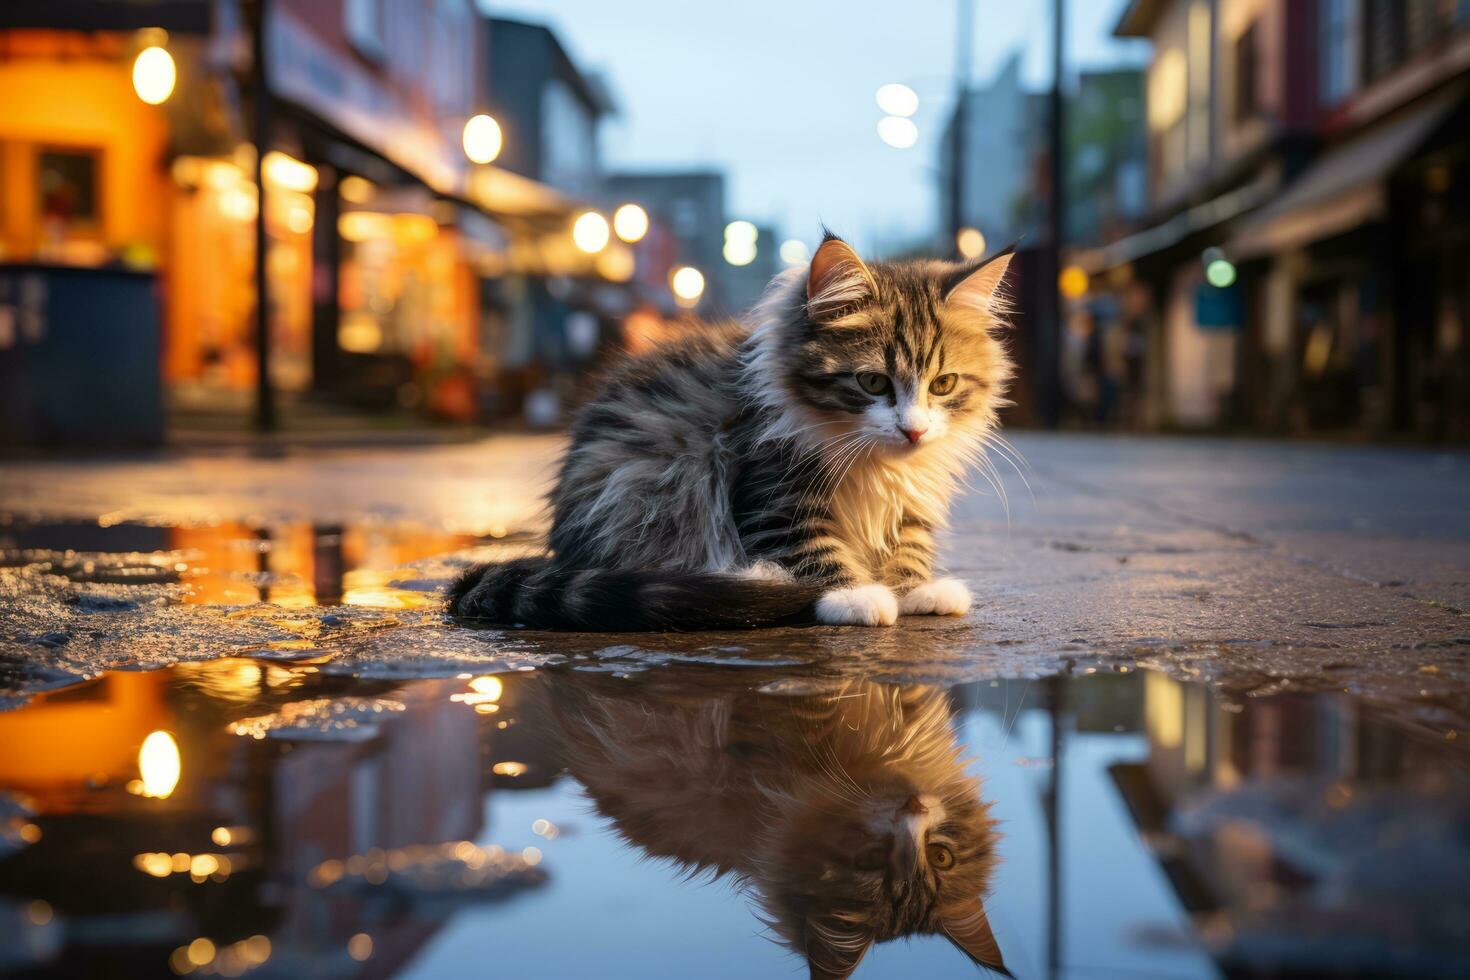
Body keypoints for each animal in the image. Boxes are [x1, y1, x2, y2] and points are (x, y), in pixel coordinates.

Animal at [452, 232, 1017, 628]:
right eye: (873, 381)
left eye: (943, 384)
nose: (914, 432)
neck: (874, 463)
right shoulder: (769, 489)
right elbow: (811, 546)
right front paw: (855, 595)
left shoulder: (910, 499)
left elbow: (909, 541)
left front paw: (916, 589)